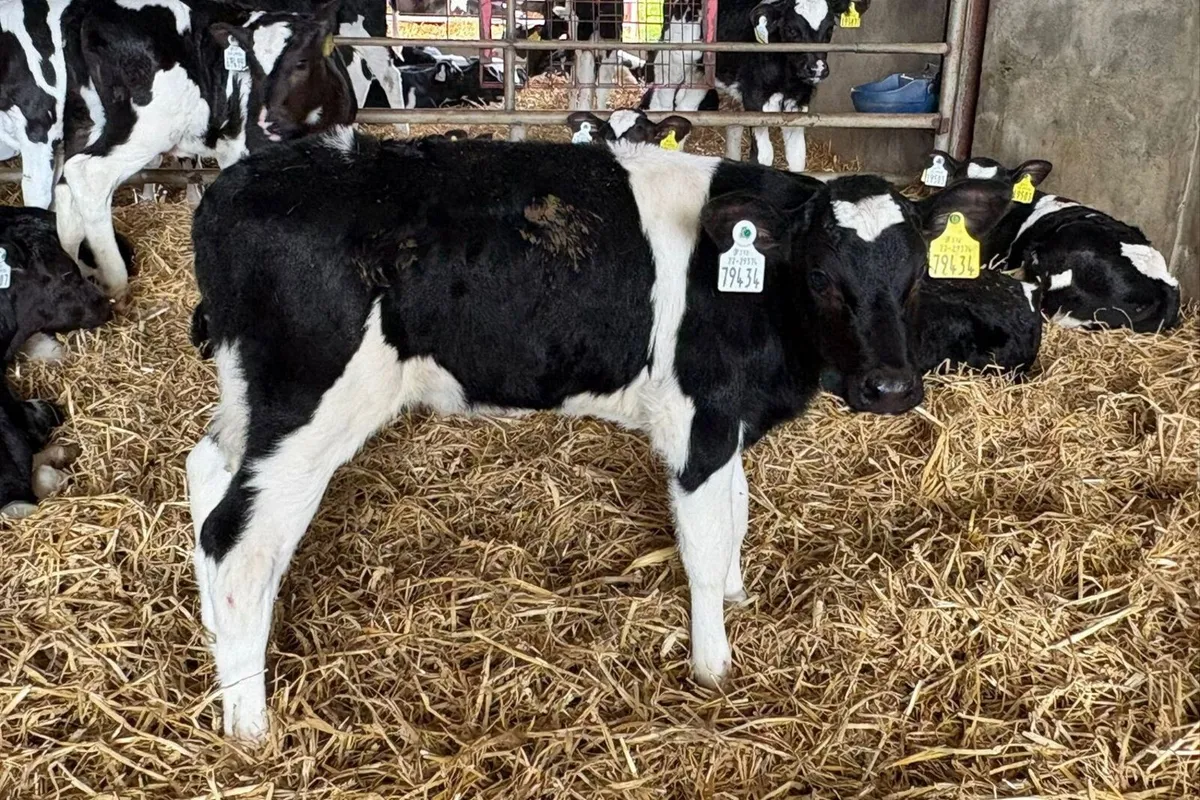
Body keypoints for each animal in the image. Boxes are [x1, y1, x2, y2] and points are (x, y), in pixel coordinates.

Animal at [52, 0, 357, 299]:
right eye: (251, 66)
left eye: (302, 62)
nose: (266, 120)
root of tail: (88, 8)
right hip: (147, 127)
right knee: (89, 173)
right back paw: (116, 281)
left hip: (85, 120)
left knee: (65, 186)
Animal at [184, 126, 1013, 740]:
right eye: (819, 278)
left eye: (917, 277)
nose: (891, 388)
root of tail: (235, 186)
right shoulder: (697, 417)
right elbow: (705, 541)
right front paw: (714, 666)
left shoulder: (727, 416)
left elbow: (738, 511)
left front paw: (740, 596)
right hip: (311, 406)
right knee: (240, 546)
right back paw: (249, 728)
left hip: (251, 395)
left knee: (206, 473)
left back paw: (219, 652)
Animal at [644, 0, 870, 171]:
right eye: (791, 30)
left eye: (830, 29)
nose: (817, 68)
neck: (787, 79)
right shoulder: (755, 100)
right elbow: (764, 155)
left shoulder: (799, 104)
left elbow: (797, 156)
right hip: (673, 59)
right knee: (661, 105)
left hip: (701, 73)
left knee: (686, 109)